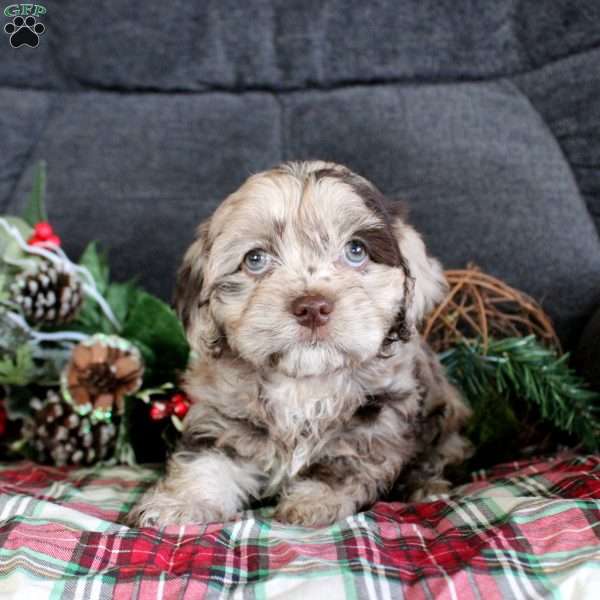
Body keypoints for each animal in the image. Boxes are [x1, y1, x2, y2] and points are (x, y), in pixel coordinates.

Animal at [130, 162, 468, 528]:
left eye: (356, 250)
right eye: (255, 259)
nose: (312, 307)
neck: (304, 383)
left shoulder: (377, 419)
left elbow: (345, 463)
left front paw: (314, 501)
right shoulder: (222, 417)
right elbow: (205, 462)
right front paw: (178, 503)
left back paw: (427, 487)